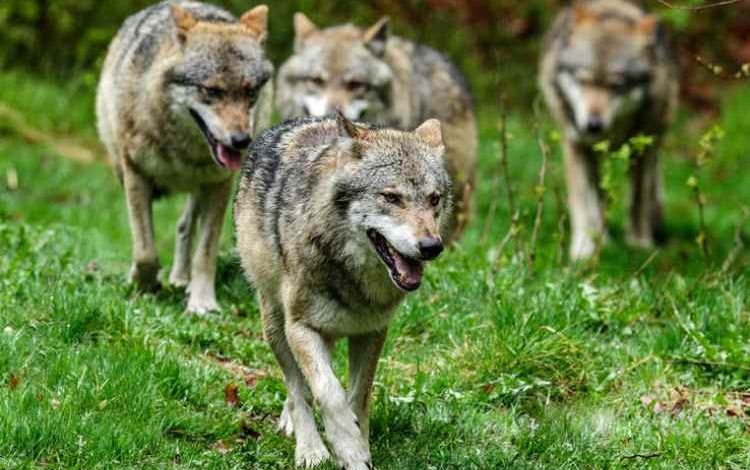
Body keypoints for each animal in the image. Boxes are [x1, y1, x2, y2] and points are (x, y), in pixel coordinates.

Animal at [96, 1, 273, 313]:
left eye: (250, 92)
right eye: (211, 91)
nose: (241, 141)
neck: (184, 152)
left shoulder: (219, 185)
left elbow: (205, 252)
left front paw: (202, 303)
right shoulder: (136, 174)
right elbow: (145, 251)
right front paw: (145, 285)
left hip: (201, 189)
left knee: (184, 226)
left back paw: (181, 279)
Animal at [234, 112, 452, 469]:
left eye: (434, 199)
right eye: (391, 197)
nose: (432, 247)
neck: (352, 279)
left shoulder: (372, 331)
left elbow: (358, 395)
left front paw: (359, 446)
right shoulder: (301, 328)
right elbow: (328, 392)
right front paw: (347, 449)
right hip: (275, 324)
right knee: (297, 387)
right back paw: (309, 449)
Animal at [540, 0, 678, 260]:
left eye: (616, 85)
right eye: (583, 80)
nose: (593, 125)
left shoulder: (641, 149)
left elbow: (638, 200)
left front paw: (640, 244)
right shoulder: (575, 145)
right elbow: (583, 203)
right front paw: (583, 248)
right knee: (597, 199)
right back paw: (602, 238)